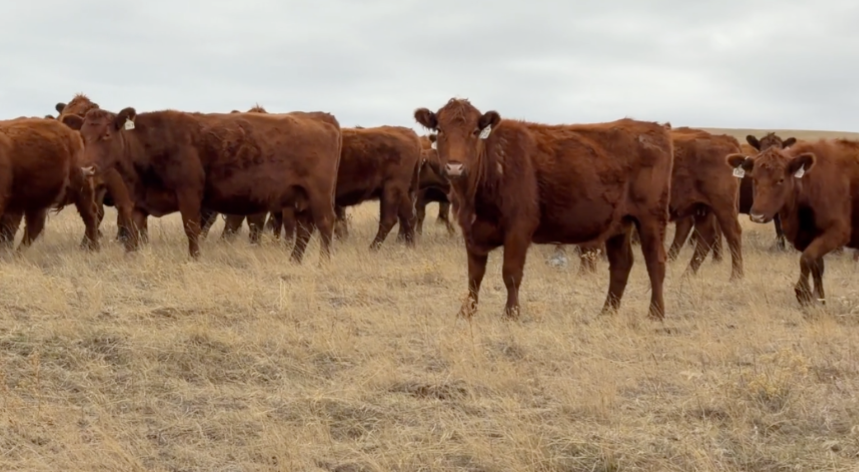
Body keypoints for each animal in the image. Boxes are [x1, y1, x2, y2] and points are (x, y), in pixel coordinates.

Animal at [71, 106, 342, 261]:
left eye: (106, 135)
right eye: (82, 135)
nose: (85, 168)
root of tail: (322, 119)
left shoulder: (190, 193)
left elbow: (192, 228)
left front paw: (194, 258)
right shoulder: (138, 202)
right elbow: (133, 231)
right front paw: (130, 257)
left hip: (319, 195)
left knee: (325, 224)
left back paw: (324, 261)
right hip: (301, 198)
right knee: (305, 229)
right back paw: (295, 260)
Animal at [414, 98, 674, 320]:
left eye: (474, 132)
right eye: (440, 130)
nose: (454, 167)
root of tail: (656, 129)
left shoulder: (518, 229)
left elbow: (511, 273)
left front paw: (511, 313)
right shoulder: (472, 232)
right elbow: (474, 276)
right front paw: (466, 312)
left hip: (651, 219)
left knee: (655, 262)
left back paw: (656, 313)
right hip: (619, 224)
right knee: (621, 265)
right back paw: (607, 312)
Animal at [727, 138, 859, 305]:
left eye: (780, 180)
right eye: (754, 179)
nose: (757, 216)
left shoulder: (837, 233)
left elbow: (806, 259)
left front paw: (803, 293)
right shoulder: (809, 238)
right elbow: (817, 266)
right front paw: (818, 299)